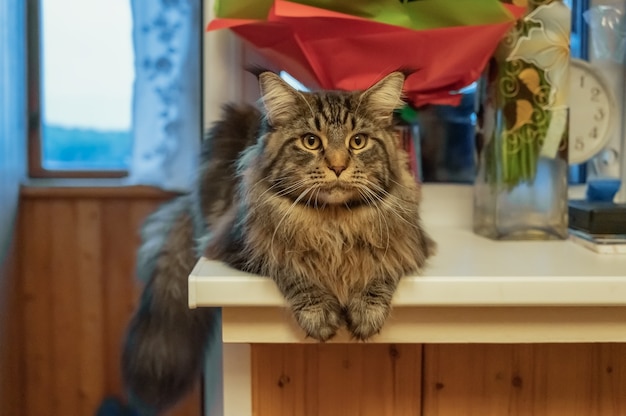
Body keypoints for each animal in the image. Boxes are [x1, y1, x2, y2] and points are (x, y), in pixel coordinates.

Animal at [122, 70, 434, 412]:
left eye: (358, 141)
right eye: (311, 141)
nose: (338, 166)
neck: (333, 222)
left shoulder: (410, 245)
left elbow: (381, 267)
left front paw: (367, 309)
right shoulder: (243, 247)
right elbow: (291, 267)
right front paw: (318, 312)